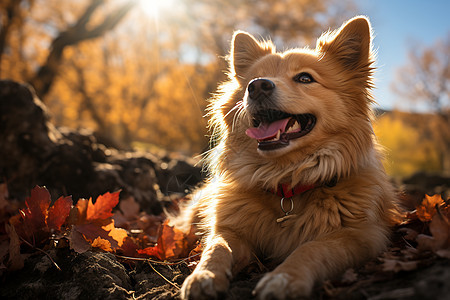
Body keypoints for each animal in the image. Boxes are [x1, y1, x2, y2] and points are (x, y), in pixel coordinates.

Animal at [178, 17, 400, 300]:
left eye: (305, 78)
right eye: (252, 80)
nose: (257, 86)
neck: (288, 181)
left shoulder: (363, 235)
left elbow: (312, 249)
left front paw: (284, 279)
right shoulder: (230, 228)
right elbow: (216, 247)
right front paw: (204, 275)